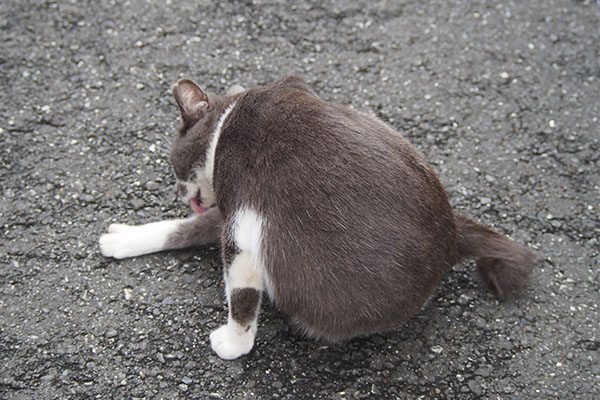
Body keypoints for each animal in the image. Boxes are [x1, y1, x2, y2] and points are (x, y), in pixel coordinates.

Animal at [99, 75, 540, 360]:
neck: (230, 120)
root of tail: (454, 236)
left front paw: (233, 344)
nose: (177, 192)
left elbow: (241, 296)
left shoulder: (244, 215)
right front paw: (125, 238)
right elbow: (190, 228)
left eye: (173, 164)